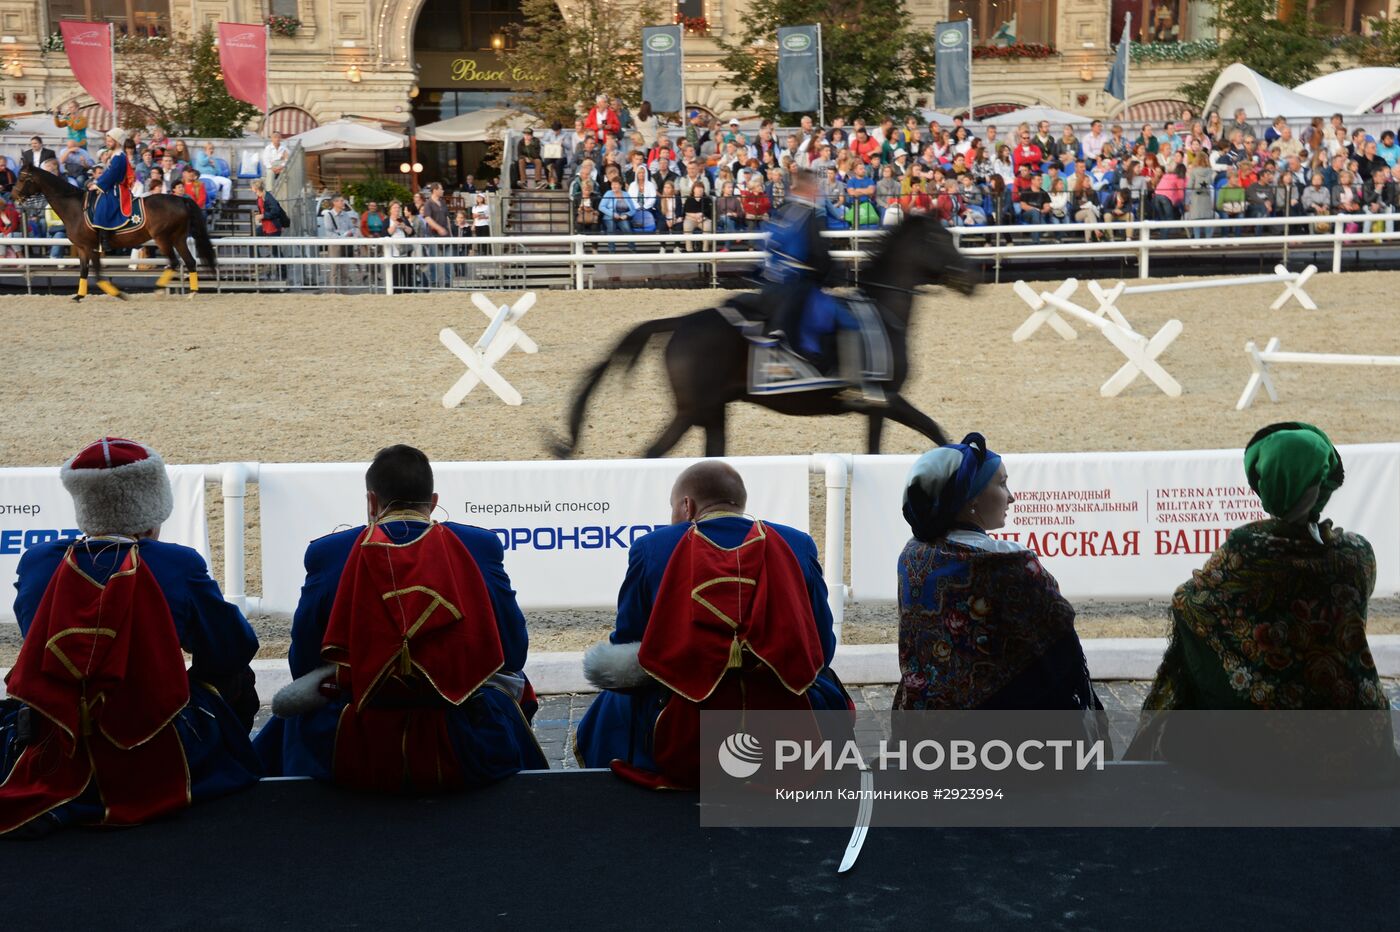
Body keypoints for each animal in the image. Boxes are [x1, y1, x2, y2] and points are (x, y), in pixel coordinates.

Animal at [10, 163, 217, 299]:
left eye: (22, 178)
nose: (13, 195)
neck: (74, 206)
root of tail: (180, 199)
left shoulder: (90, 247)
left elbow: (96, 274)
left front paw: (118, 293)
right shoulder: (84, 248)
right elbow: (85, 272)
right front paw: (79, 296)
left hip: (162, 238)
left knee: (174, 262)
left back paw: (159, 288)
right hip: (178, 238)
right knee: (190, 261)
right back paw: (192, 293)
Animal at [551, 211, 980, 456]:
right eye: (939, 239)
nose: (972, 280)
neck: (883, 311)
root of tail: (682, 321)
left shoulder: (877, 408)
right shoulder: (887, 399)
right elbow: (937, 431)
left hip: (712, 413)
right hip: (690, 412)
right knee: (650, 457)